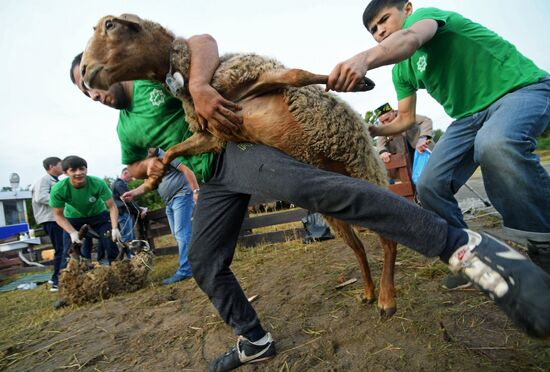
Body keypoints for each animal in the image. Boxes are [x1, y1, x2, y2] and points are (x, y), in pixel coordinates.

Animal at [81, 13, 402, 316]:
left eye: (109, 25)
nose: (83, 72)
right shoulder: (212, 132)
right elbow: (173, 150)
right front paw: (151, 177)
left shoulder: (257, 76)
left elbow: (298, 75)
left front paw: (358, 82)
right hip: (333, 206)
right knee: (358, 246)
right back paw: (370, 292)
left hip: (364, 167)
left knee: (388, 238)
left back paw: (386, 299)